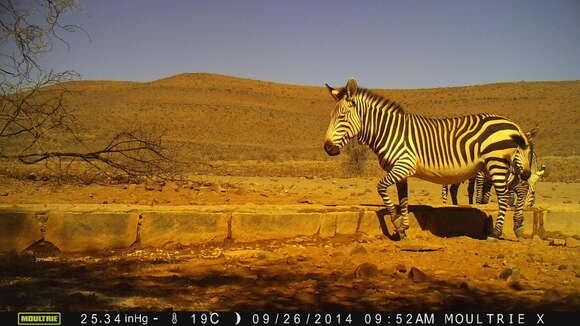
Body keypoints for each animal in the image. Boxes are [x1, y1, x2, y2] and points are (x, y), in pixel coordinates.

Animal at [324, 79, 532, 239]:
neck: (389, 132)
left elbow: (381, 187)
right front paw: (403, 229)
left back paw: (496, 233)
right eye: (331, 116)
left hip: (496, 163)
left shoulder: (403, 165)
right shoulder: (400, 172)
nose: (327, 148)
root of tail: (513, 124)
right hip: (500, 166)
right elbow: (403, 200)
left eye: (342, 117)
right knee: (521, 188)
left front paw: (397, 224)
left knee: (505, 195)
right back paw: (519, 226)